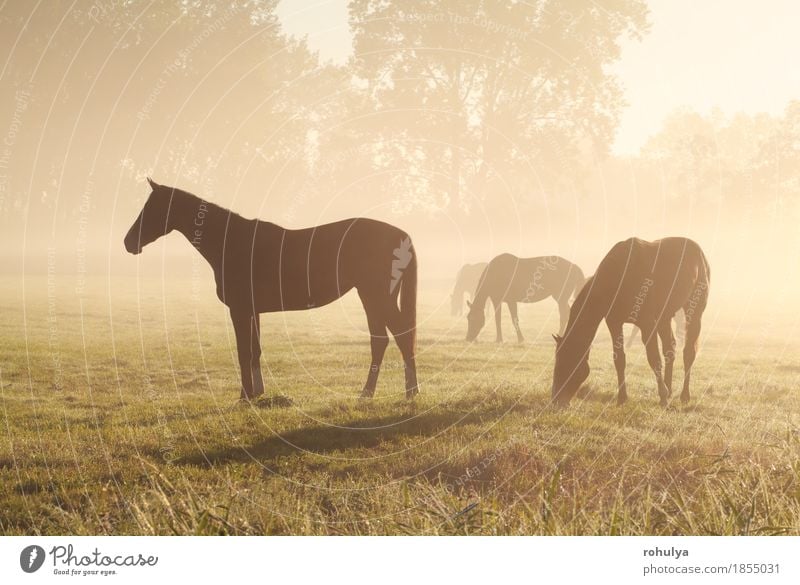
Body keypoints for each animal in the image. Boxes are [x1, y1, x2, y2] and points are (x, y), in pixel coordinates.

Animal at [123, 179, 418, 402]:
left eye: (152, 208)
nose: (128, 242)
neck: (232, 242)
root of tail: (401, 234)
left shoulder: (240, 310)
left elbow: (244, 352)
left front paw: (244, 397)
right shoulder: (253, 311)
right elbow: (255, 351)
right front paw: (257, 393)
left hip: (376, 295)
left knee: (400, 337)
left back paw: (409, 392)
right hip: (371, 296)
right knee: (381, 340)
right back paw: (369, 393)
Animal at [552, 236, 712, 406]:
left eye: (566, 362)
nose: (556, 400)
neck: (619, 276)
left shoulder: (647, 324)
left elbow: (653, 358)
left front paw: (662, 396)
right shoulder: (614, 323)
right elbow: (619, 359)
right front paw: (622, 398)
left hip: (694, 311)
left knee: (689, 352)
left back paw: (684, 395)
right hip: (664, 317)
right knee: (670, 348)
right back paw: (669, 390)